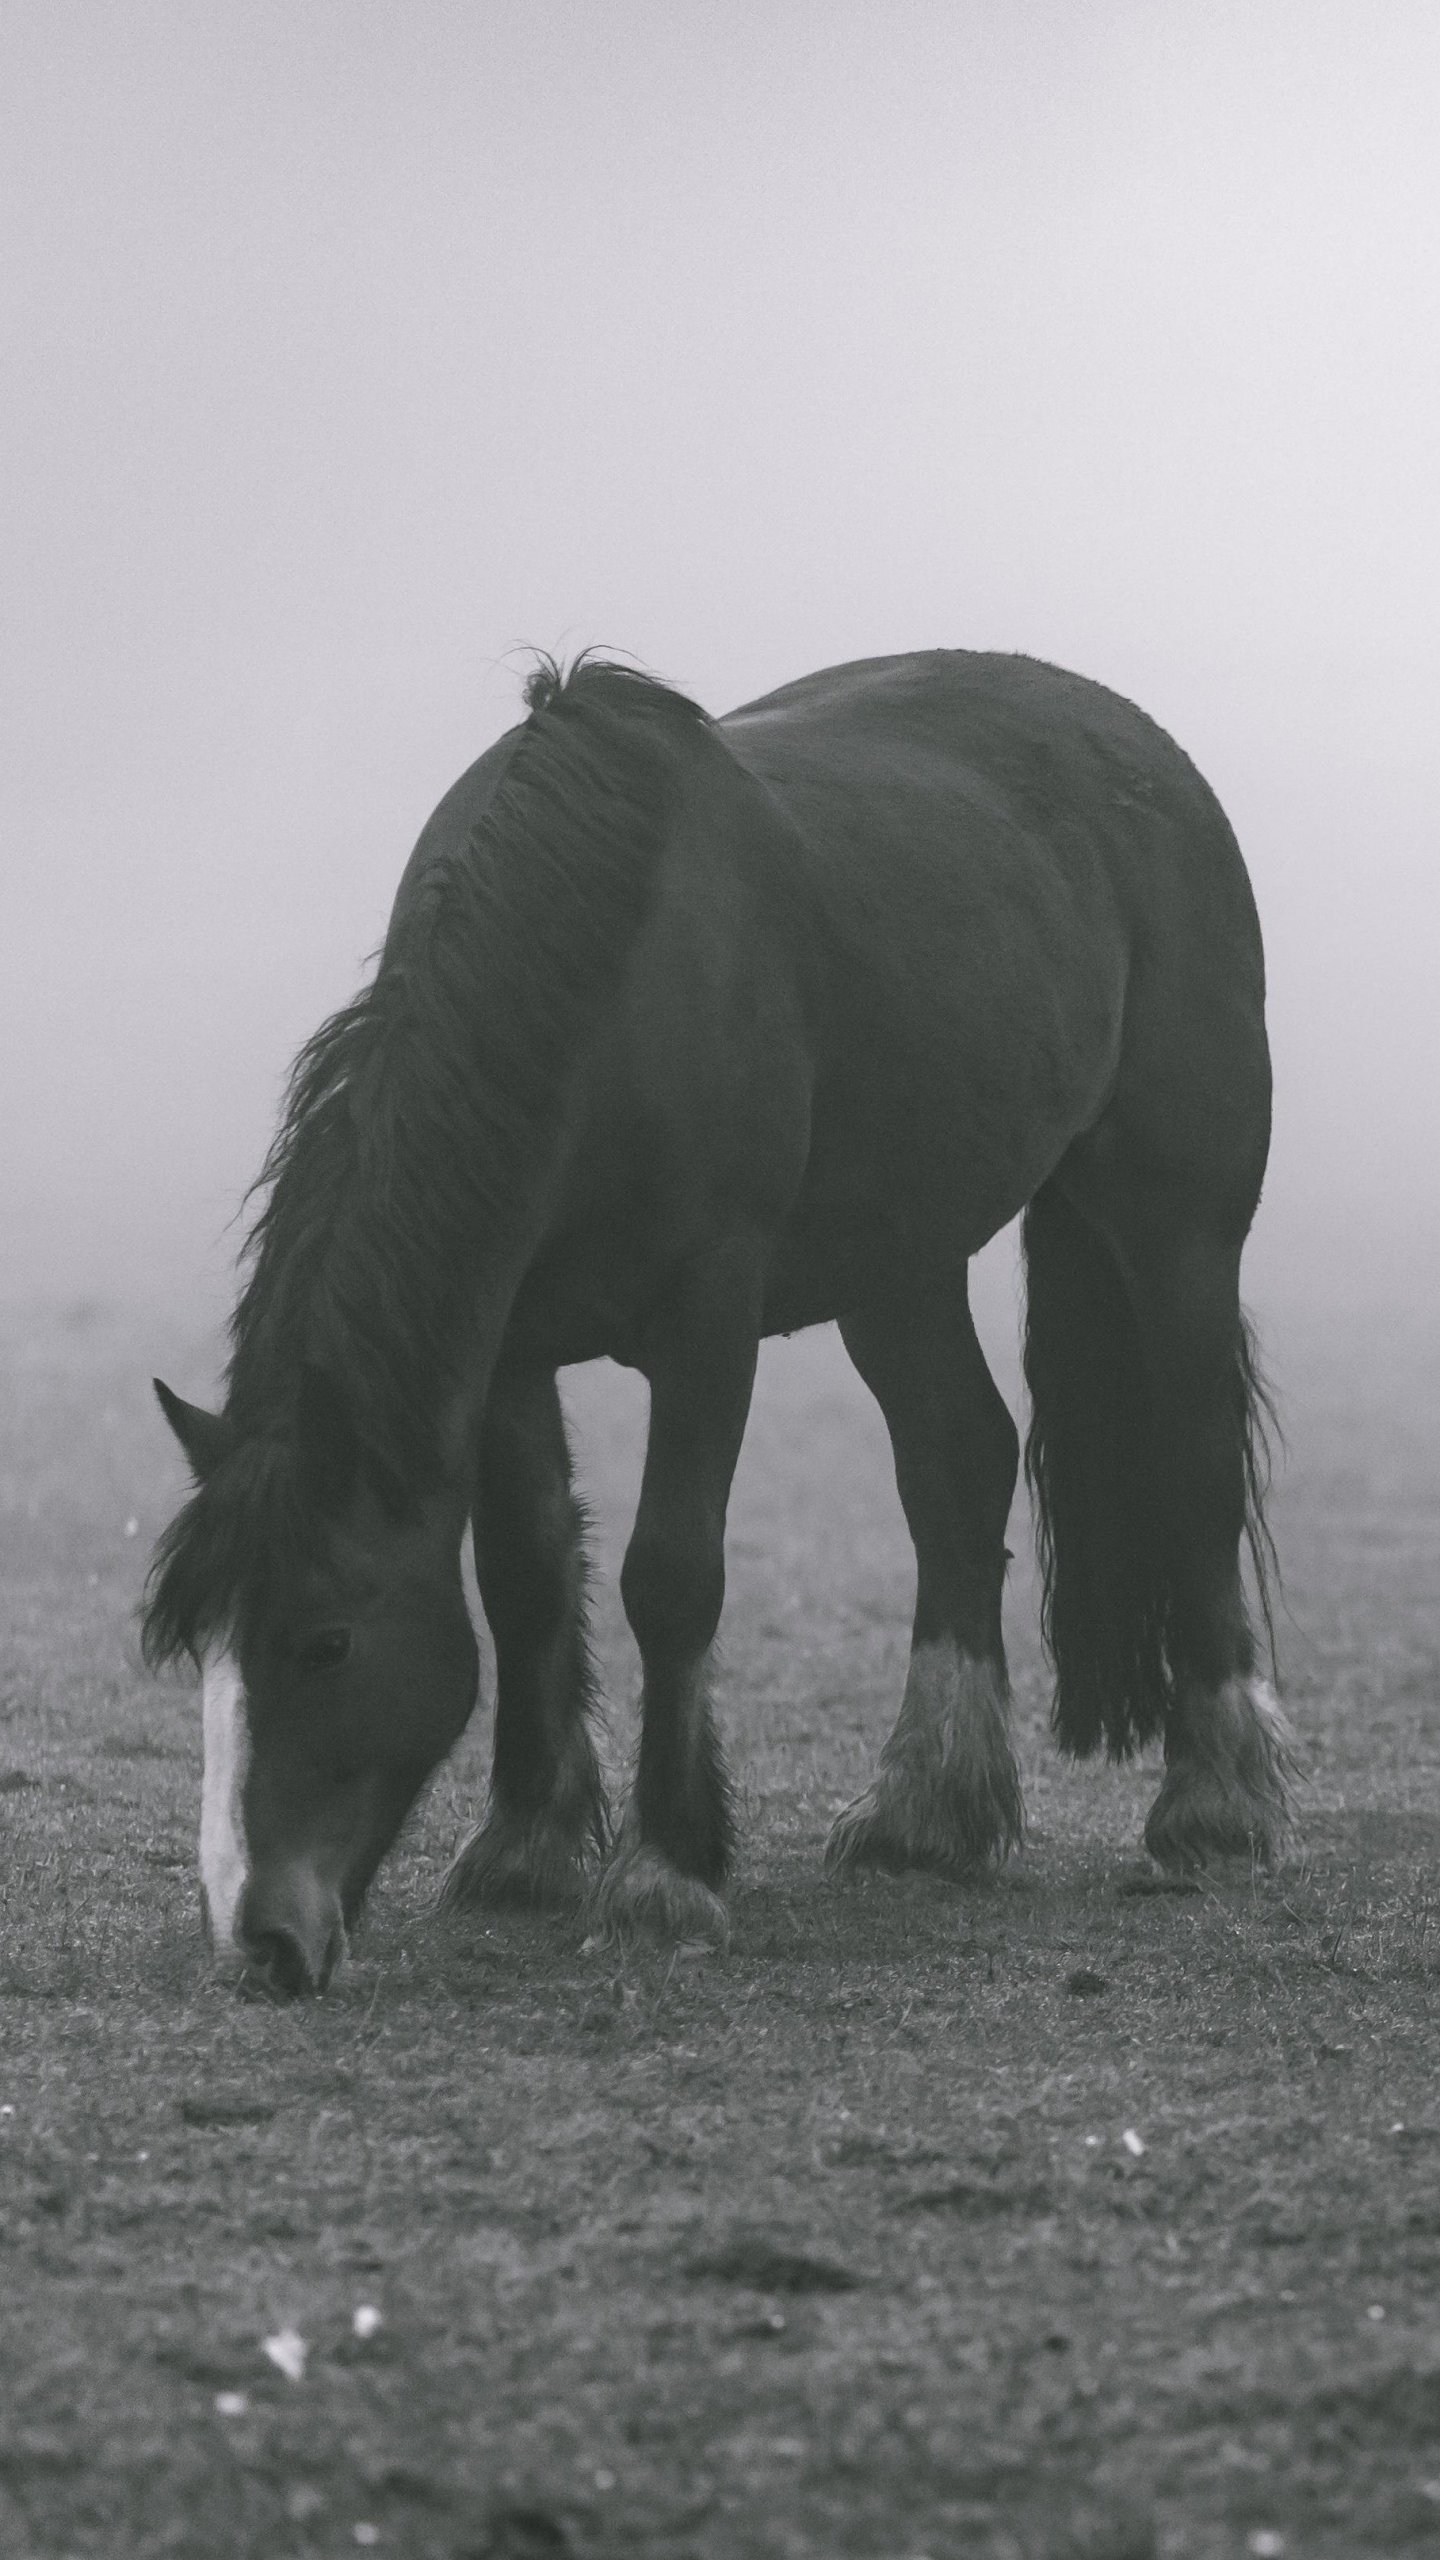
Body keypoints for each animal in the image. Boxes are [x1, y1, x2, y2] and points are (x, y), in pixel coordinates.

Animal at [144, 648, 1293, 1998]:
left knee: (1195, 1466)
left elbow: (671, 1574)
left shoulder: (709, 1320)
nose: (259, 1937)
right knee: (957, 1462)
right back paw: (927, 1810)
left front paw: (665, 1871)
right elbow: (525, 1570)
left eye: (324, 1641)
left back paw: (1216, 1802)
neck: (600, 988)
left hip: (1175, 1226)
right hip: (896, 1260)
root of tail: (1144, 755)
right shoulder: (508, 1347)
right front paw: (525, 1847)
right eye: (204, 1651)